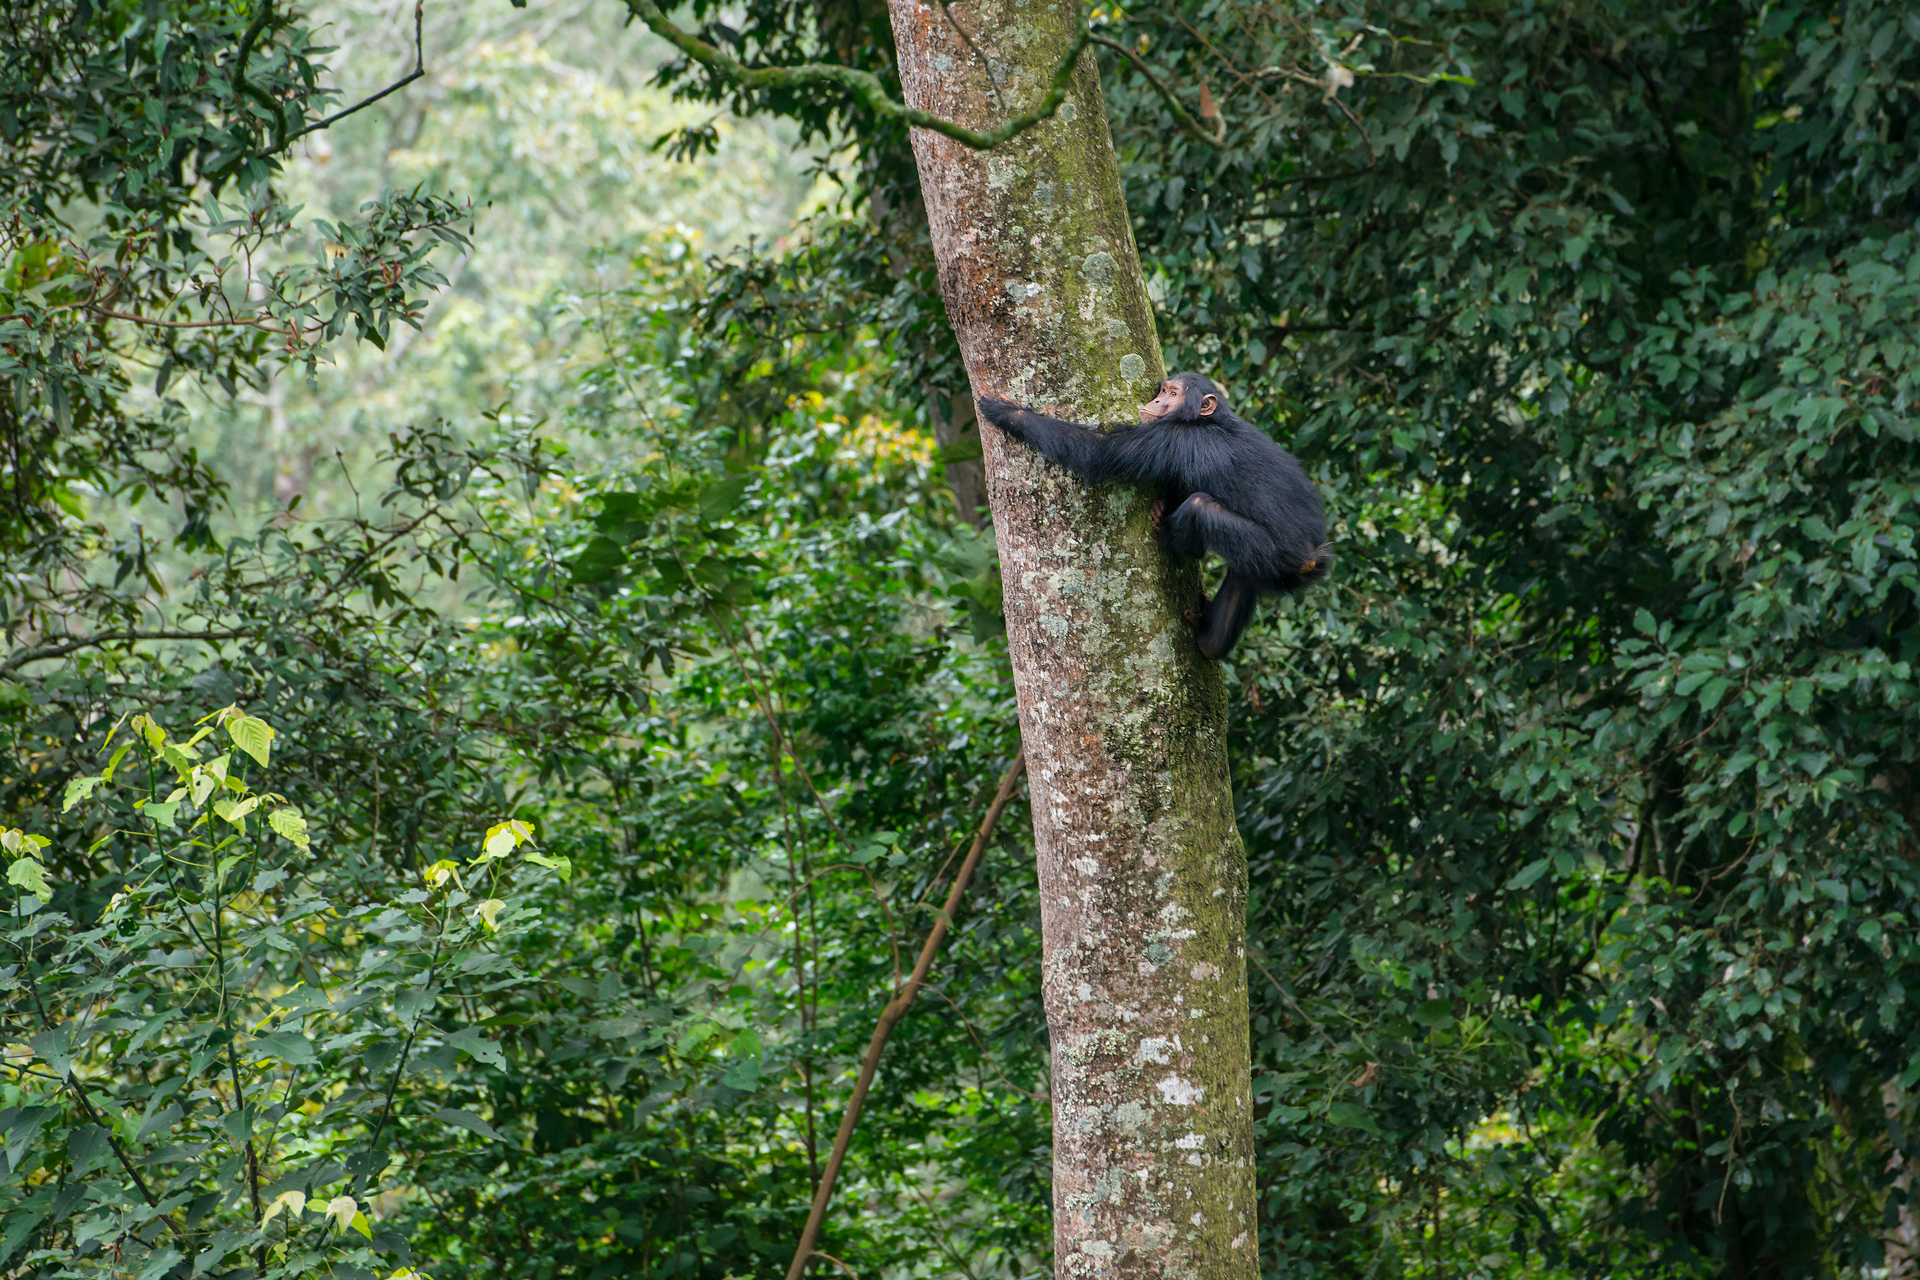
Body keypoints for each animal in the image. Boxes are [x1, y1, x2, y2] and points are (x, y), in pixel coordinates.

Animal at [976, 372, 1330, 660]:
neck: (1208, 420)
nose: (1157, 399)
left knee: (1200, 506)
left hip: (1267, 552)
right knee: (1243, 579)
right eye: (1162, 389)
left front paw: (1005, 412)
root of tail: (1312, 557)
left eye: (1173, 393)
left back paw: (1172, 537)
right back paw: (1210, 639)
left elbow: (1098, 451)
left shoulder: (1169, 436)